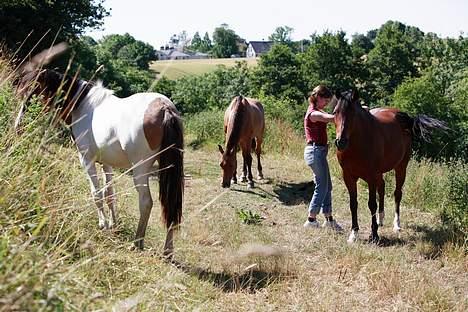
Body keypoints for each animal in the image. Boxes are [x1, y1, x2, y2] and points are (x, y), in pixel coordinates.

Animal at [14, 45, 183, 256]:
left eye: (34, 92)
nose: (18, 126)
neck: (82, 105)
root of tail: (165, 109)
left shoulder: (86, 159)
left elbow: (97, 193)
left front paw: (102, 224)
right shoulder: (107, 163)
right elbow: (110, 194)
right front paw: (112, 224)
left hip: (140, 169)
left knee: (146, 202)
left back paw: (137, 242)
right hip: (167, 169)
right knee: (170, 205)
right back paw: (167, 251)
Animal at [334, 90, 448, 244]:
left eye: (352, 114)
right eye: (335, 112)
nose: (340, 142)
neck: (357, 144)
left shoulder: (371, 176)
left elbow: (371, 204)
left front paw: (375, 235)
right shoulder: (348, 176)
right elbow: (353, 204)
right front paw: (353, 234)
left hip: (401, 167)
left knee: (397, 194)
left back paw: (396, 225)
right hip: (379, 173)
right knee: (381, 187)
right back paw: (380, 219)